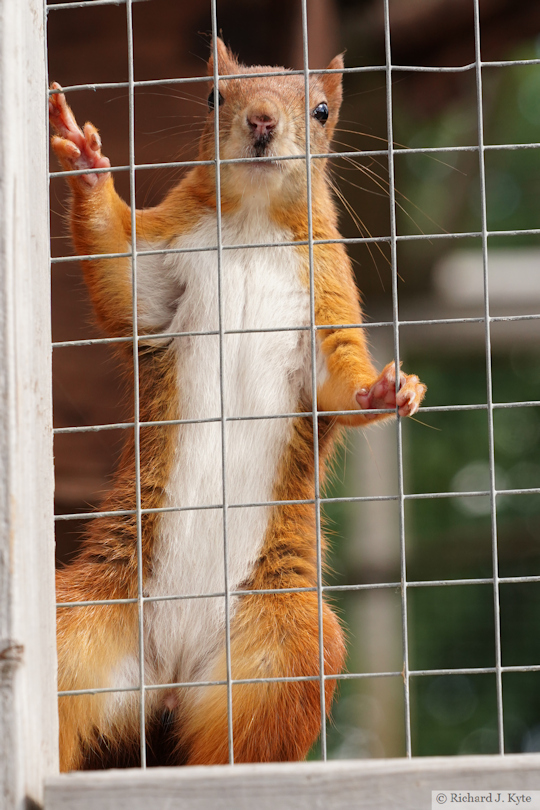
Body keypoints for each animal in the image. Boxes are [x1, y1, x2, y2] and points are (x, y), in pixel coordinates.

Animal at [49, 38, 426, 770]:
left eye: (322, 109)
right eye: (213, 97)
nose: (261, 122)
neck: (251, 219)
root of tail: (166, 681)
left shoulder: (327, 296)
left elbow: (337, 383)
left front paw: (387, 389)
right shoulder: (159, 265)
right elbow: (121, 272)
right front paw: (85, 162)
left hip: (281, 656)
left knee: (238, 745)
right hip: (76, 628)